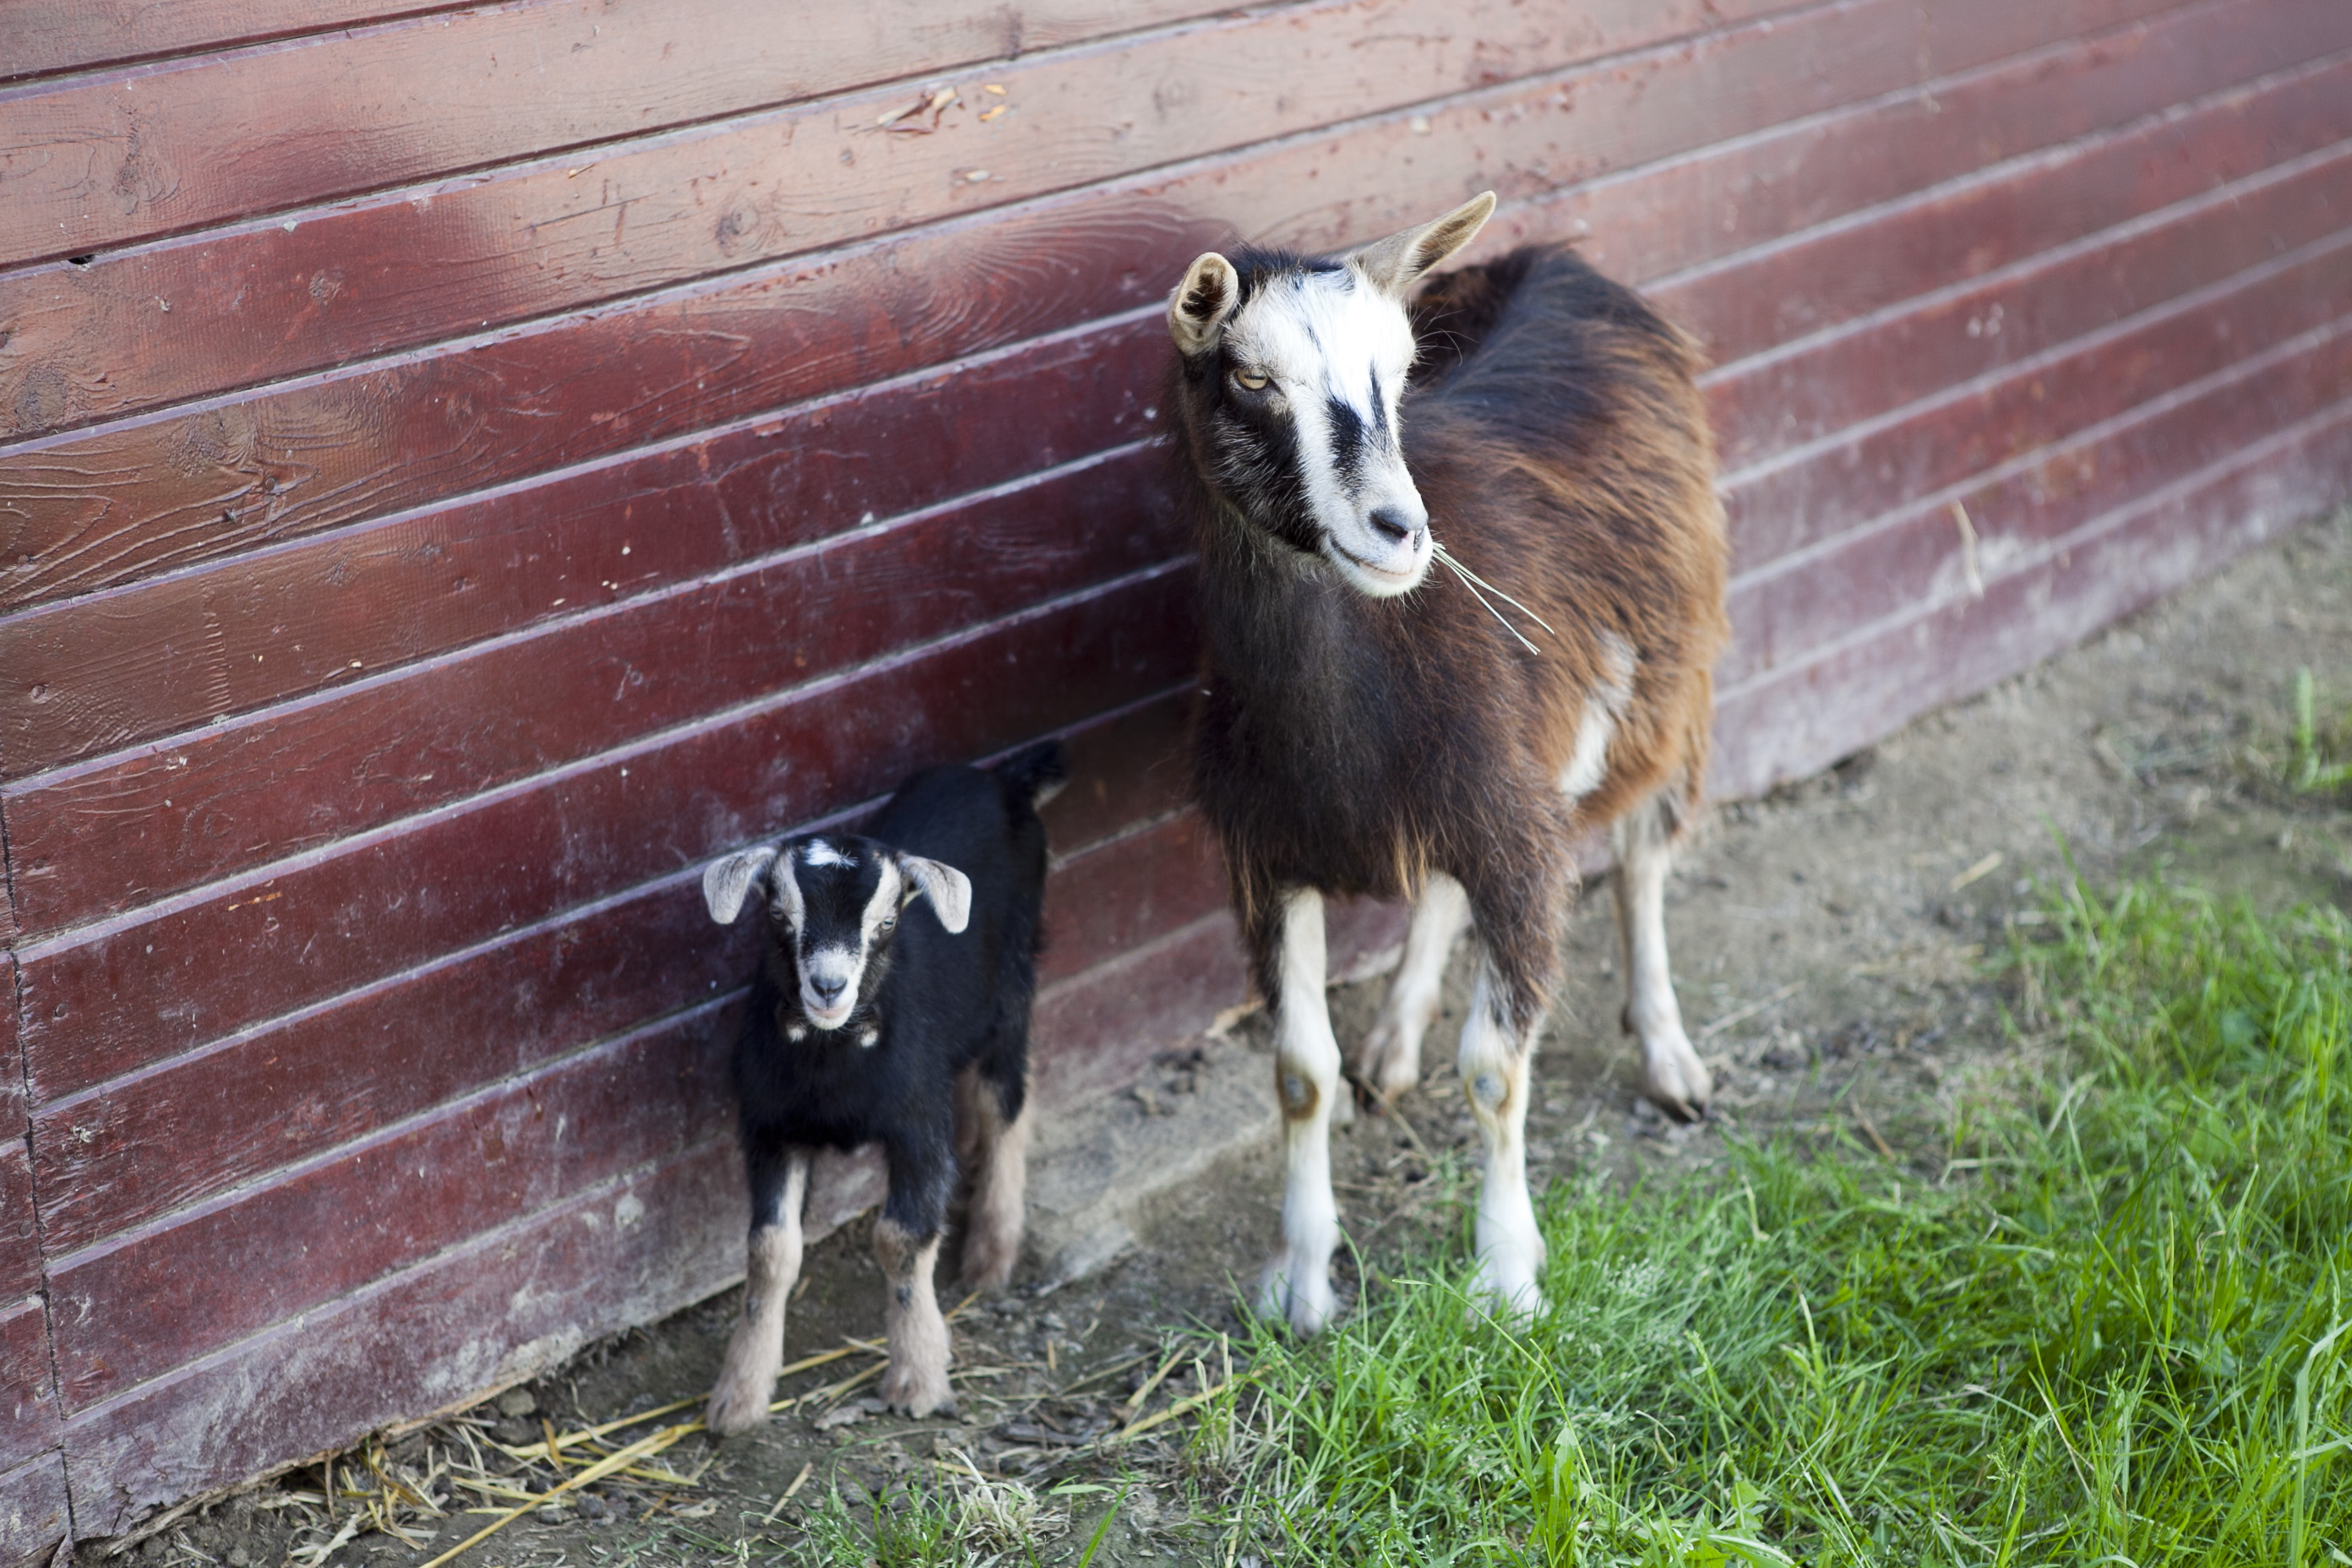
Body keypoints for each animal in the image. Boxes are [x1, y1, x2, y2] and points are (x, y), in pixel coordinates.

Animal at [696, 747, 1067, 1438]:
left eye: (888, 921)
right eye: (780, 915)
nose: (828, 986)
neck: (834, 1061)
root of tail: (1005, 780)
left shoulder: (918, 1123)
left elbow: (901, 1238)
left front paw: (918, 1378)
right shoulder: (770, 1128)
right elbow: (769, 1250)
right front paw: (739, 1396)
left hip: (1012, 988)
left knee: (1006, 1100)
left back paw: (992, 1252)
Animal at [1171, 190, 1731, 1335]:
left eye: (1400, 371)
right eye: (1251, 379)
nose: (1400, 529)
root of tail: (1560, 262)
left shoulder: (1521, 840)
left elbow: (1494, 1070)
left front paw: (1506, 1276)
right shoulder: (1266, 856)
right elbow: (1299, 1072)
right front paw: (1301, 1279)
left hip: (1672, 682)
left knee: (1645, 856)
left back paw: (1667, 1052)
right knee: (1437, 884)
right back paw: (1394, 1036)